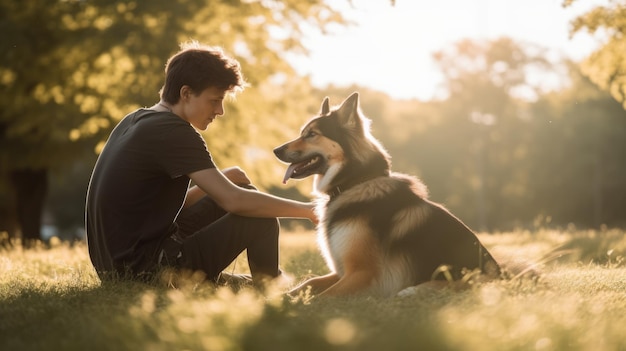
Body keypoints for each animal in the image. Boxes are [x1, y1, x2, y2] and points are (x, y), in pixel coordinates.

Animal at [272, 93, 498, 296]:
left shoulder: (362, 273)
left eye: (312, 134)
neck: (355, 183)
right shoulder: (343, 271)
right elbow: (308, 283)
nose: (276, 150)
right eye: (303, 132)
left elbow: (320, 299)